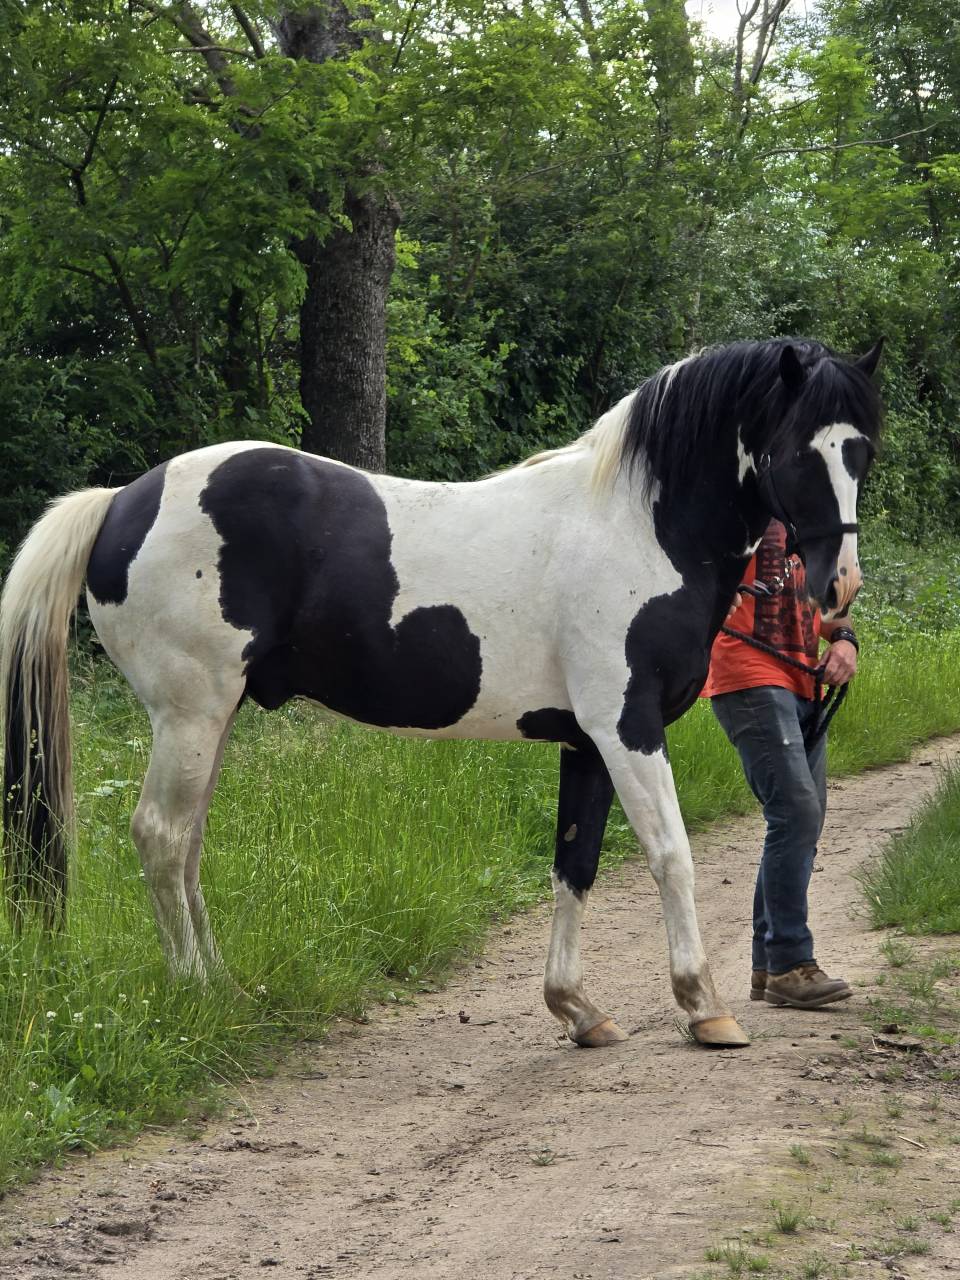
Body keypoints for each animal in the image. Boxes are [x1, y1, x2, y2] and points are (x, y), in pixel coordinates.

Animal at [1, 336, 883, 1050]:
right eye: (796, 452)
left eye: (862, 452)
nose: (837, 588)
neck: (637, 527)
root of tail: (121, 500)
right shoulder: (626, 728)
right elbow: (671, 855)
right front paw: (704, 1008)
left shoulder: (585, 741)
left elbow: (576, 865)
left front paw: (577, 1010)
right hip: (189, 714)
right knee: (159, 835)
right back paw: (198, 993)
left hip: (210, 721)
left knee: (185, 847)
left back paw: (224, 986)